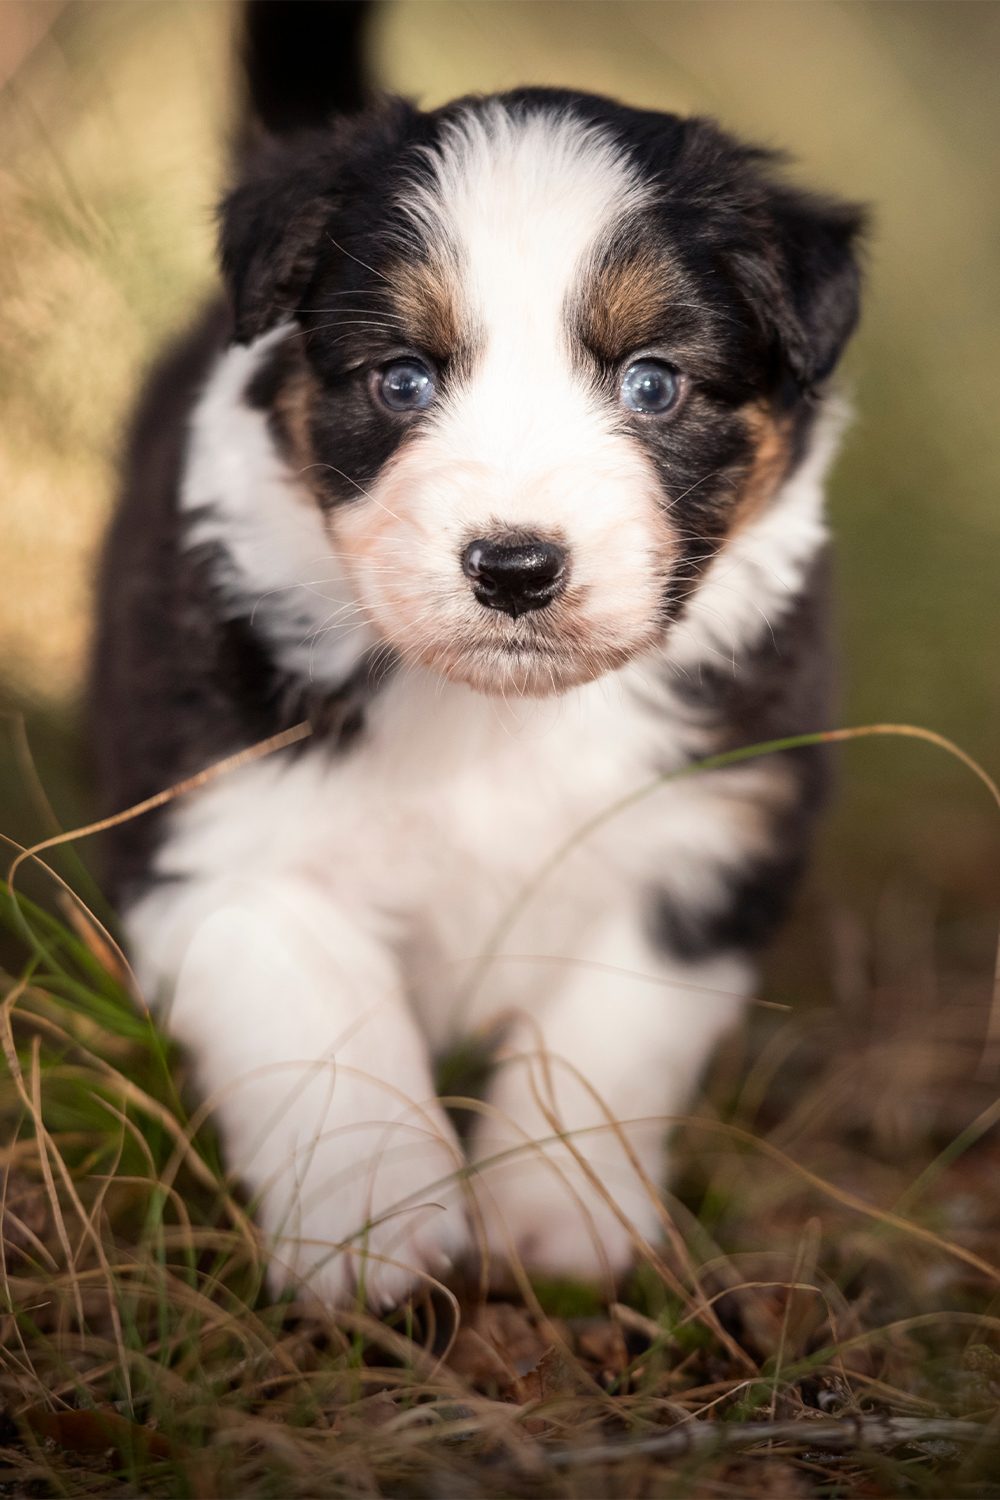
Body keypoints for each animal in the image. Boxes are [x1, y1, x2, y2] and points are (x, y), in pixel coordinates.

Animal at [89, 0, 863, 1314]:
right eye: (403, 377)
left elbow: (605, 1034)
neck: (498, 717)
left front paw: (554, 1225)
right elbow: (328, 1043)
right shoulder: (230, 834)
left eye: (651, 382)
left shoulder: (704, 829)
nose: (512, 567)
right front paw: (374, 1235)